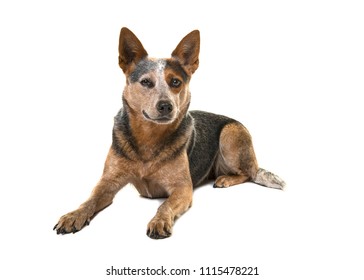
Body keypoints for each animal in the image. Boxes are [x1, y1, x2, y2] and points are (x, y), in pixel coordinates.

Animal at [53, 27, 284, 240]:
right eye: (146, 82)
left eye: (175, 82)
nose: (166, 106)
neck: (149, 137)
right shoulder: (108, 182)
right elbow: (90, 199)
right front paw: (73, 215)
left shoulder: (182, 188)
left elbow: (165, 205)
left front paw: (159, 221)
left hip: (231, 133)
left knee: (248, 173)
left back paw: (226, 179)